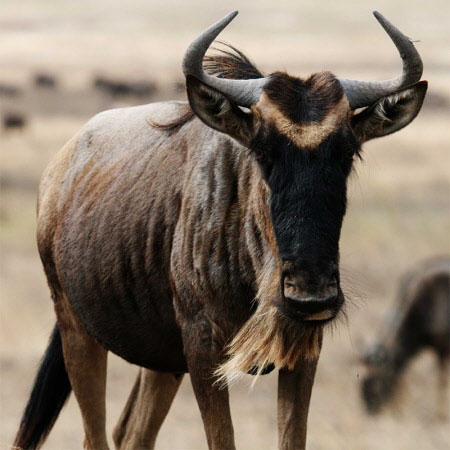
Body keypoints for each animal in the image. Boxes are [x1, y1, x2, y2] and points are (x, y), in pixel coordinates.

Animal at [14, 10, 427, 450]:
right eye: (262, 152)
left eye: (347, 153)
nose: (311, 292)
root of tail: (59, 168)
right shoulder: (203, 349)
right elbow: (222, 439)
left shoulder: (302, 349)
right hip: (77, 330)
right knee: (96, 435)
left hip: (161, 359)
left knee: (131, 432)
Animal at [361, 257, 450, 417]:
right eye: (362, 382)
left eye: (375, 381)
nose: (369, 411)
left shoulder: (443, 349)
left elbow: (442, 382)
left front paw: (440, 416)